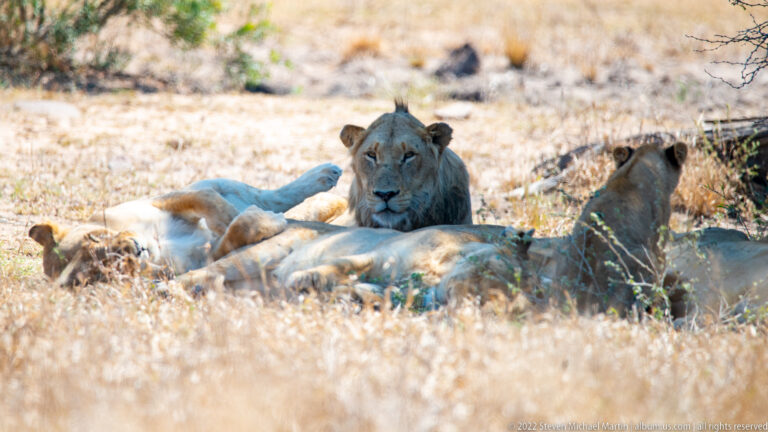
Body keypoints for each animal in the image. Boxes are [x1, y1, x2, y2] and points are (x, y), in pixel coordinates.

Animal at [29, 163, 345, 286]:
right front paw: (265, 223)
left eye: (94, 239)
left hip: (222, 183)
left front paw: (262, 219)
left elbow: (218, 208)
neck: (155, 245)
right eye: (98, 271)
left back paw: (326, 175)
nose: (133, 247)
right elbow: (231, 235)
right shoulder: (201, 259)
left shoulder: (169, 199)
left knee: (274, 195)